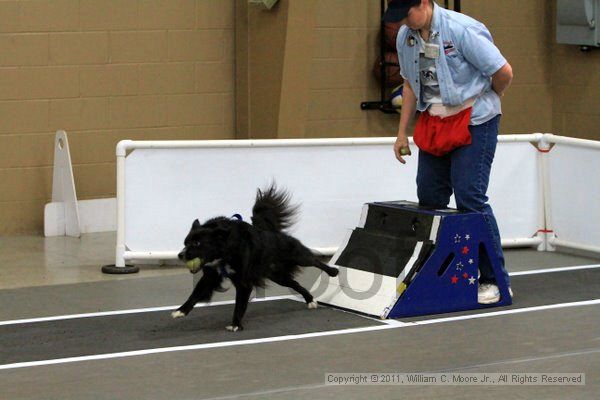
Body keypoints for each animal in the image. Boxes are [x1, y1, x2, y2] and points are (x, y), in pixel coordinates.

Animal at [172, 184, 338, 332]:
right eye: (185, 243)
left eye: (197, 243)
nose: (180, 255)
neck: (225, 251)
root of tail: (271, 231)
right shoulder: (211, 276)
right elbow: (195, 293)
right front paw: (180, 311)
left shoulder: (244, 282)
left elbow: (239, 304)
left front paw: (235, 325)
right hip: (277, 275)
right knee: (295, 284)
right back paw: (310, 300)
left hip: (297, 256)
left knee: (315, 261)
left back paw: (333, 272)